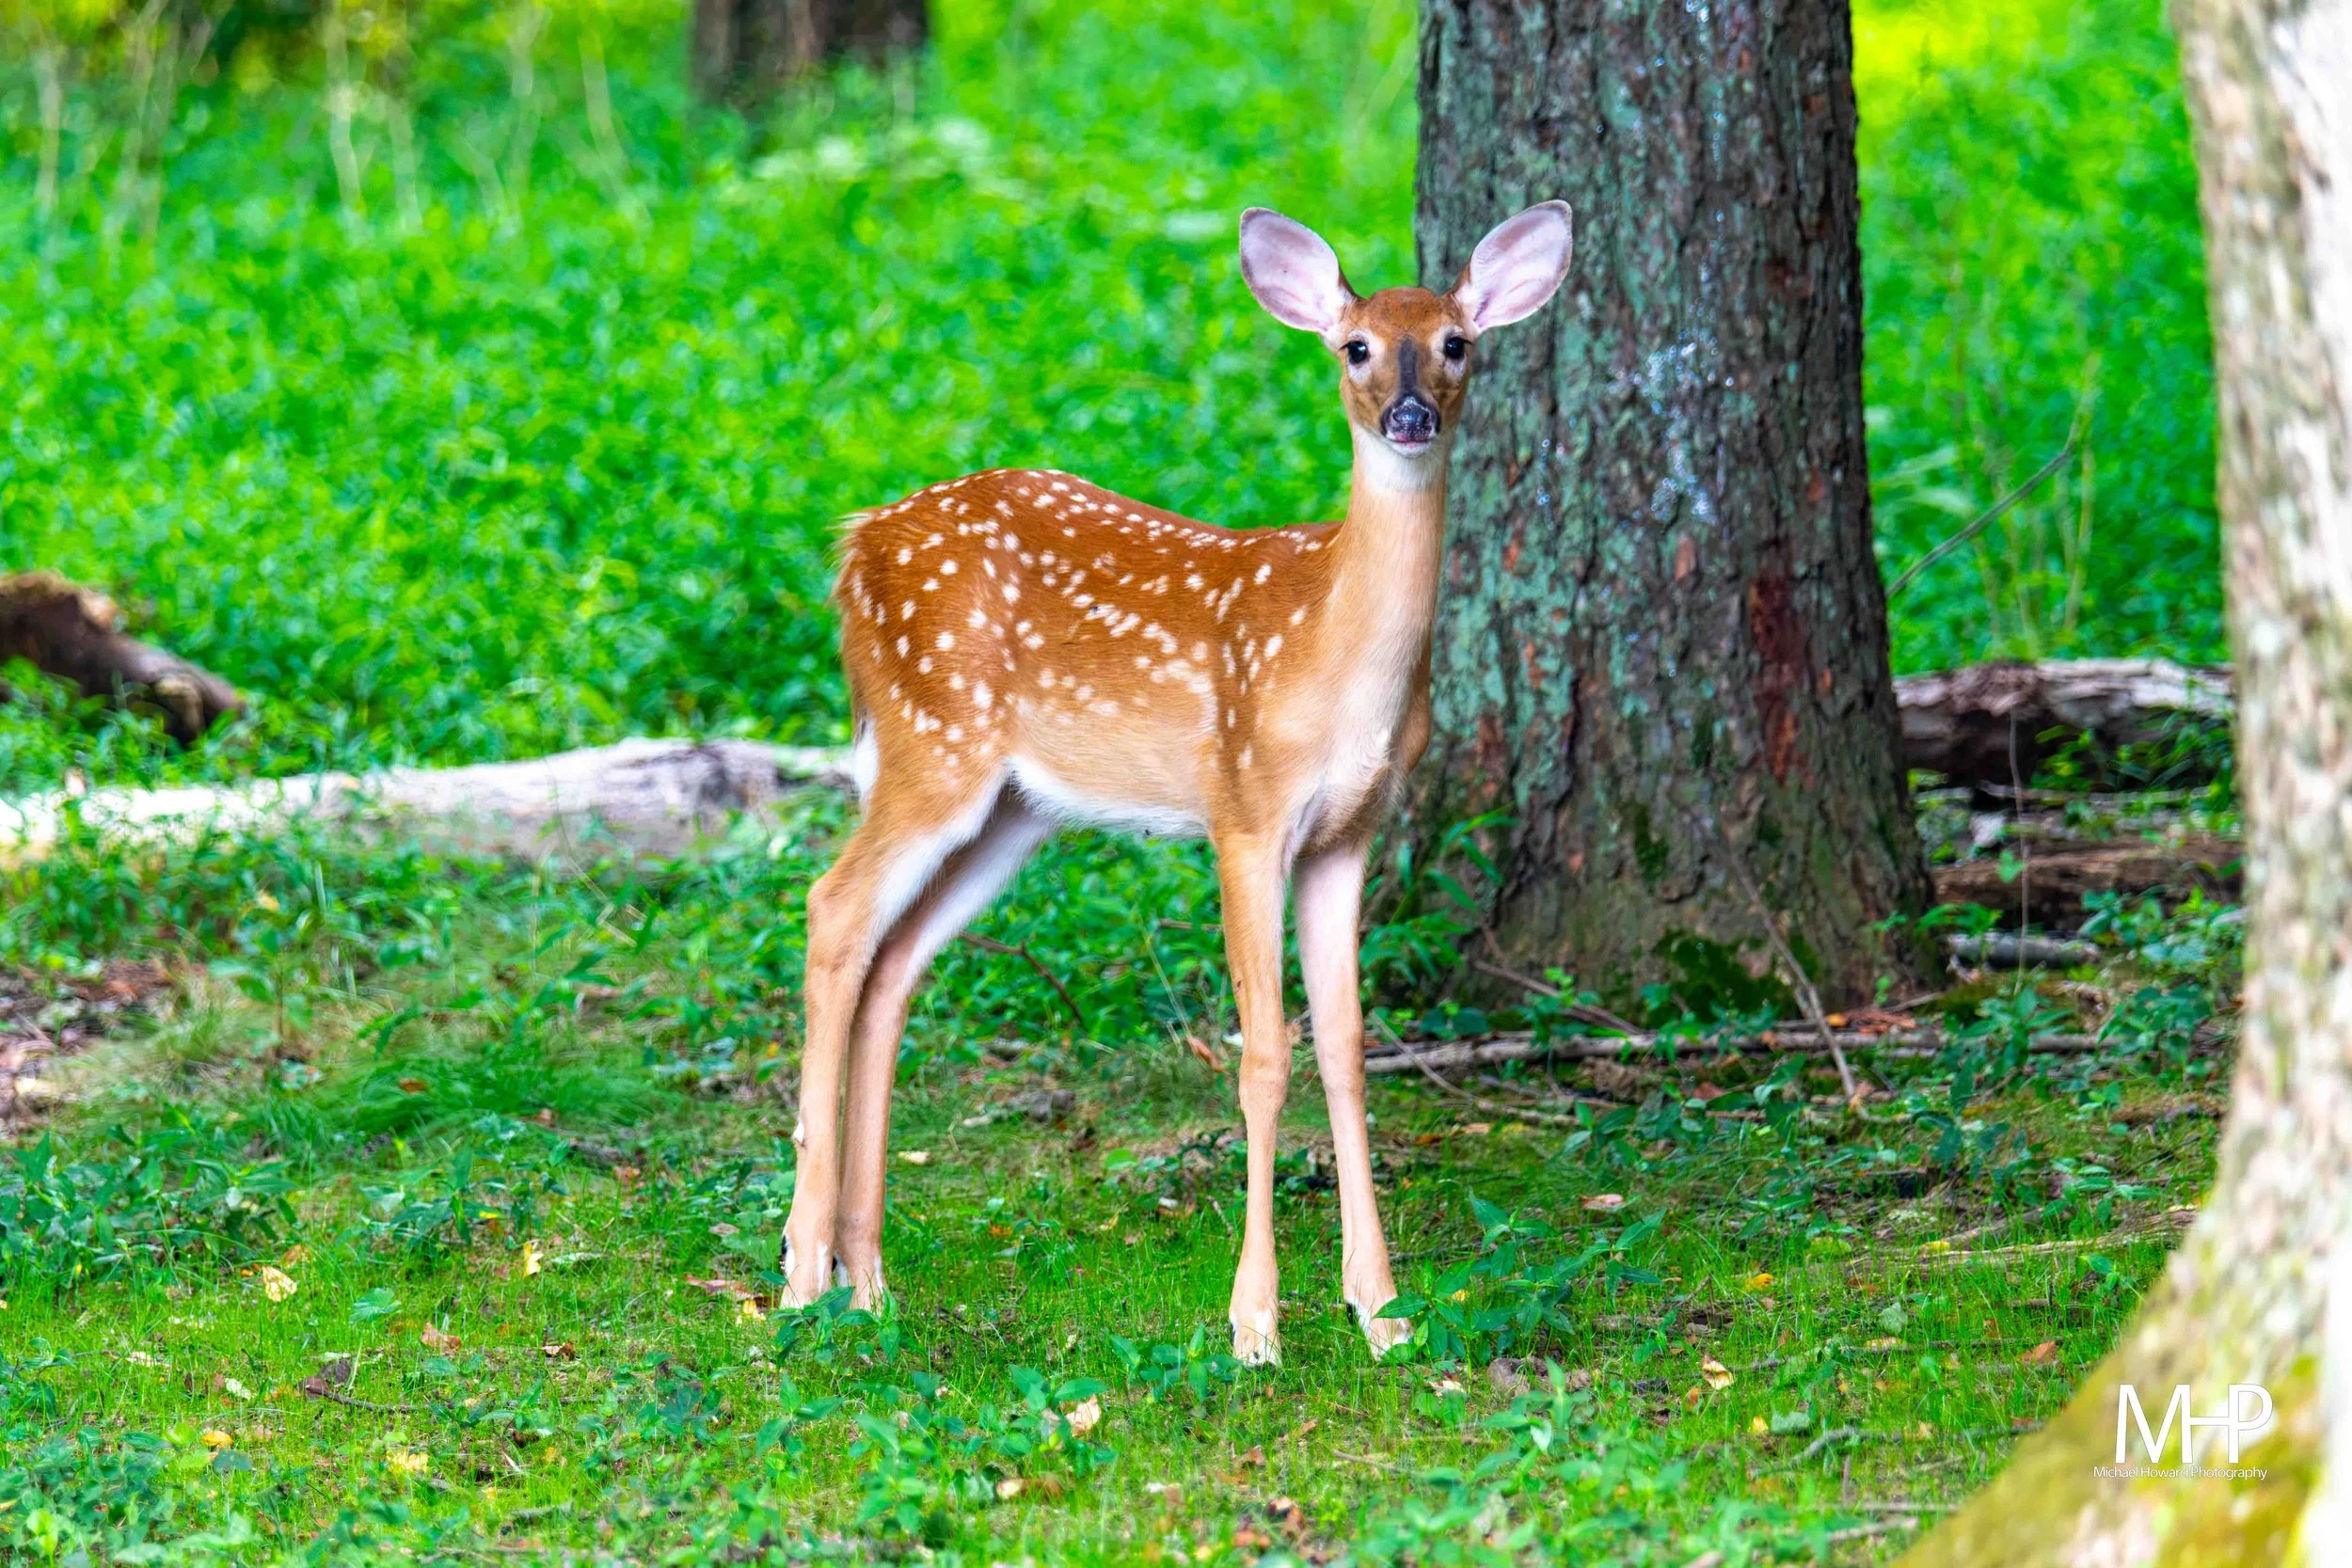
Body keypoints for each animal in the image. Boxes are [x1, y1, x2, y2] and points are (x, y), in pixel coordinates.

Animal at [779, 200, 1574, 1364]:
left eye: (1457, 342)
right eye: (1356, 347)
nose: (1411, 415)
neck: (1338, 655)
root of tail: (851, 550)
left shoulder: (1348, 832)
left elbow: (1344, 1047)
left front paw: (1382, 1311)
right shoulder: (1244, 807)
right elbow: (1263, 1055)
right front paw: (1254, 1323)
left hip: (1012, 808)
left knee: (893, 962)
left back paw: (867, 1279)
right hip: (933, 743)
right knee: (833, 909)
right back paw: (800, 1274)